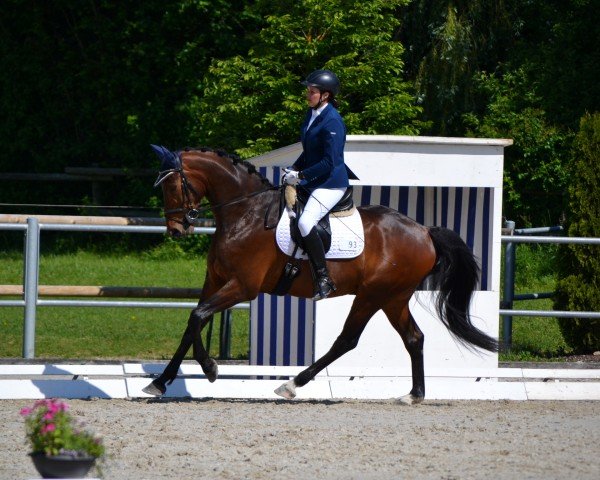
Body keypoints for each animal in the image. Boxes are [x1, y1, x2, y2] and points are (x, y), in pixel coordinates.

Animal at [144, 144, 496, 404]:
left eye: (173, 185)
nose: (175, 230)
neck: (244, 212)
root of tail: (424, 230)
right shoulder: (215, 281)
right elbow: (194, 322)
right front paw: (168, 379)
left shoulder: (242, 286)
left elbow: (198, 316)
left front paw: (204, 370)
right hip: (393, 297)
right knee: (413, 338)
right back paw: (414, 395)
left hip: (373, 295)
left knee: (347, 340)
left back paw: (292, 384)